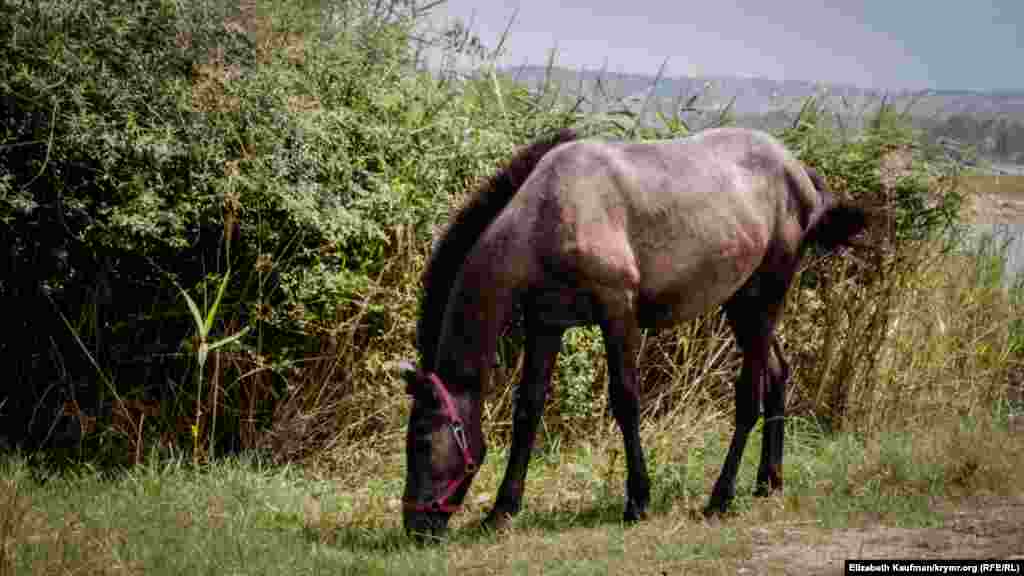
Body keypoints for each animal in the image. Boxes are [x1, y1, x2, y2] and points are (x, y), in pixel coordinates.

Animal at [395, 125, 868, 537]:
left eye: (421, 441)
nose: (416, 527)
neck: (550, 210)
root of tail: (798, 172)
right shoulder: (546, 324)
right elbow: (528, 409)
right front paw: (502, 510)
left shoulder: (617, 312)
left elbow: (625, 401)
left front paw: (638, 500)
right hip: (742, 304)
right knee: (777, 372)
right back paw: (768, 480)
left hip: (766, 296)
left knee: (749, 396)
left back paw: (720, 497)